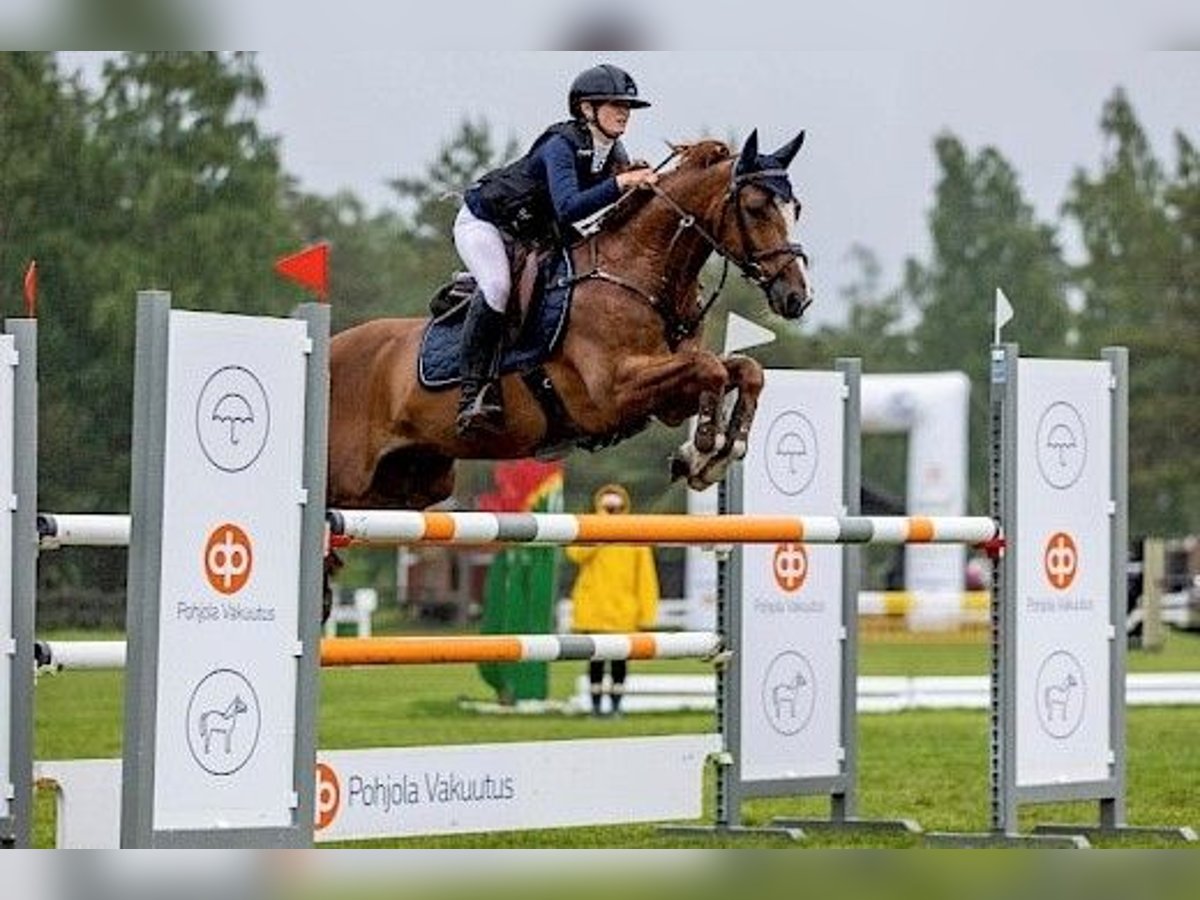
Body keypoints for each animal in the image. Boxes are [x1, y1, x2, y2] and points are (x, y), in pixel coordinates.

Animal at [328, 130, 811, 518]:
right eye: (755, 207)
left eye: (796, 208)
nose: (797, 297)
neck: (640, 275)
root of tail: (331, 346)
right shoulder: (613, 391)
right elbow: (711, 368)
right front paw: (706, 449)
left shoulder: (667, 400)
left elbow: (744, 370)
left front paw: (711, 454)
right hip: (349, 479)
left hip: (409, 482)